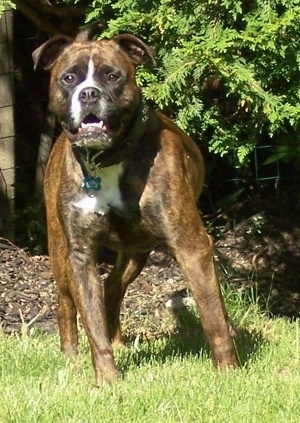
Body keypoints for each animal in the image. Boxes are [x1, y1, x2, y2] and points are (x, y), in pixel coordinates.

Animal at [31, 33, 236, 386]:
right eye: (69, 78)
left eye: (113, 76)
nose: (89, 93)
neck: (107, 159)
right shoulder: (81, 256)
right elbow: (92, 322)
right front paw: (107, 380)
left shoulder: (191, 245)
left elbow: (212, 314)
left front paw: (227, 372)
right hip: (60, 251)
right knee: (66, 302)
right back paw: (71, 357)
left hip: (135, 253)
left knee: (112, 288)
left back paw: (119, 343)